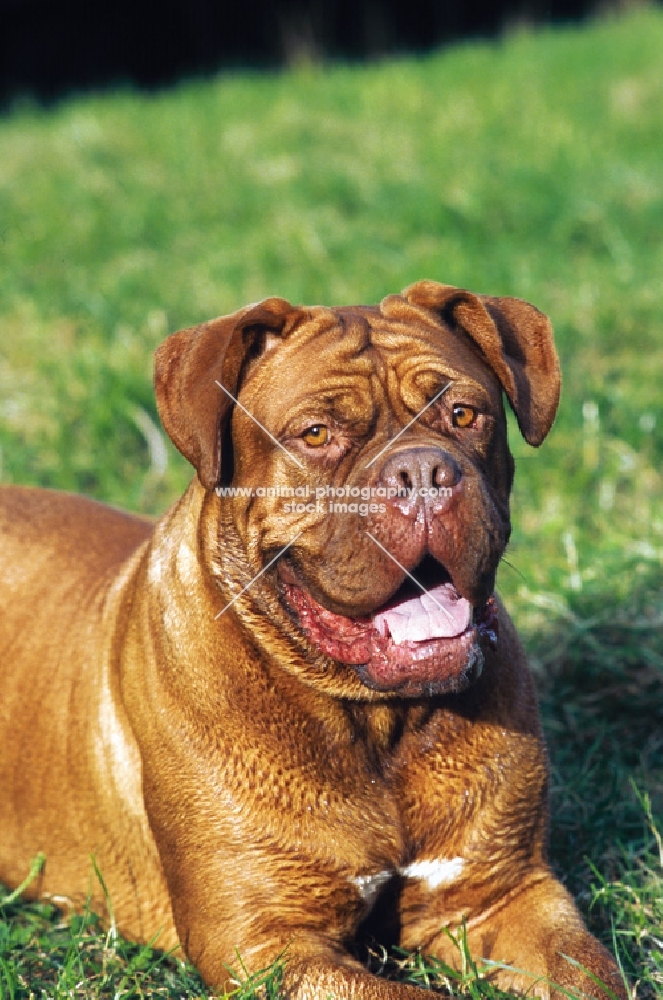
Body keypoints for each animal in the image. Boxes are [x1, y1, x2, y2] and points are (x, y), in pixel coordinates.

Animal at [0, 284, 628, 1000]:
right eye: (318, 433)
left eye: (465, 414)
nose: (423, 471)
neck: (379, 723)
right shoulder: (268, 943)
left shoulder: (502, 893)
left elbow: (591, 974)